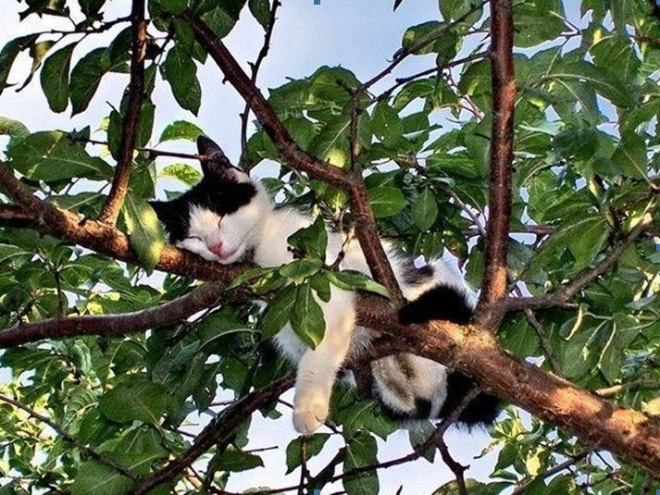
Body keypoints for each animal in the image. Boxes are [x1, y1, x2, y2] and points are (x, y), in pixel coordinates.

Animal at [151, 135, 500, 434]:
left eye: (223, 214)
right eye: (193, 237)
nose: (215, 247)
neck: (259, 248)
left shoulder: (322, 273)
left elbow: (319, 347)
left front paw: (308, 407)